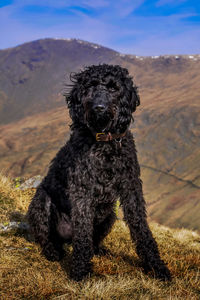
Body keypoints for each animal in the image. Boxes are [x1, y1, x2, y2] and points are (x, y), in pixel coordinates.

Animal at [27, 63, 171, 282]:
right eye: (91, 86)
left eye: (113, 88)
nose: (99, 107)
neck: (105, 142)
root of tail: (67, 238)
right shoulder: (82, 191)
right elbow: (83, 236)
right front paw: (80, 272)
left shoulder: (131, 188)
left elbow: (141, 228)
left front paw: (156, 266)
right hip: (41, 202)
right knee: (48, 238)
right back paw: (53, 252)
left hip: (109, 215)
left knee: (92, 240)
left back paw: (99, 250)